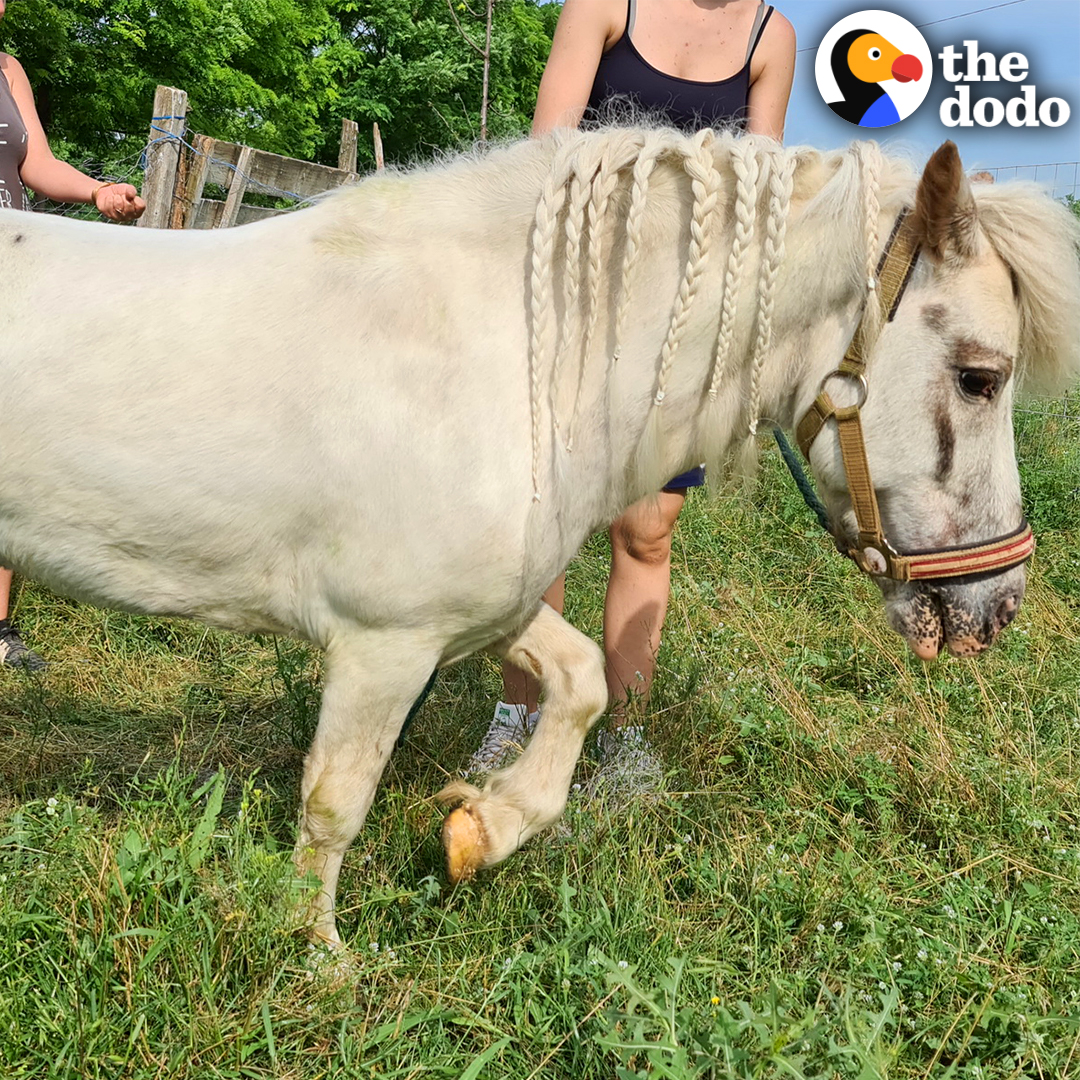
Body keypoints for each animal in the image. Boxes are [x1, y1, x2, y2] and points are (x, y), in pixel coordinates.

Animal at [0, 129, 1077, 947]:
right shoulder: (382, 644)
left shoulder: (486, 611)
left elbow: (585, 680)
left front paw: (484, 827)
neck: (509, 358)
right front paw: (316, 957)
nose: (995, 609)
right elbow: (333, 805)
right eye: (981, 377)